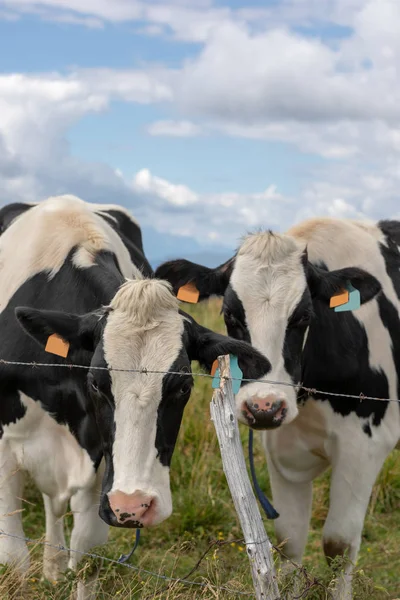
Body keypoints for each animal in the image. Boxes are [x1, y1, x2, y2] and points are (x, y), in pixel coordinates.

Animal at [0, 195, 270, 596]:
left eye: (183, 386)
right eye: (96, 383)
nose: (134, 505)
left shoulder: (99, 464)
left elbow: (88, 560)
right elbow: (14, 560)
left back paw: (52, 566)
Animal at [155, 218, 400, 596]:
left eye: (303, 316)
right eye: (229, 314)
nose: (264, 407)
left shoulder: (366, 444)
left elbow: (339, 543)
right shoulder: (281, 449)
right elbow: (290, 538)